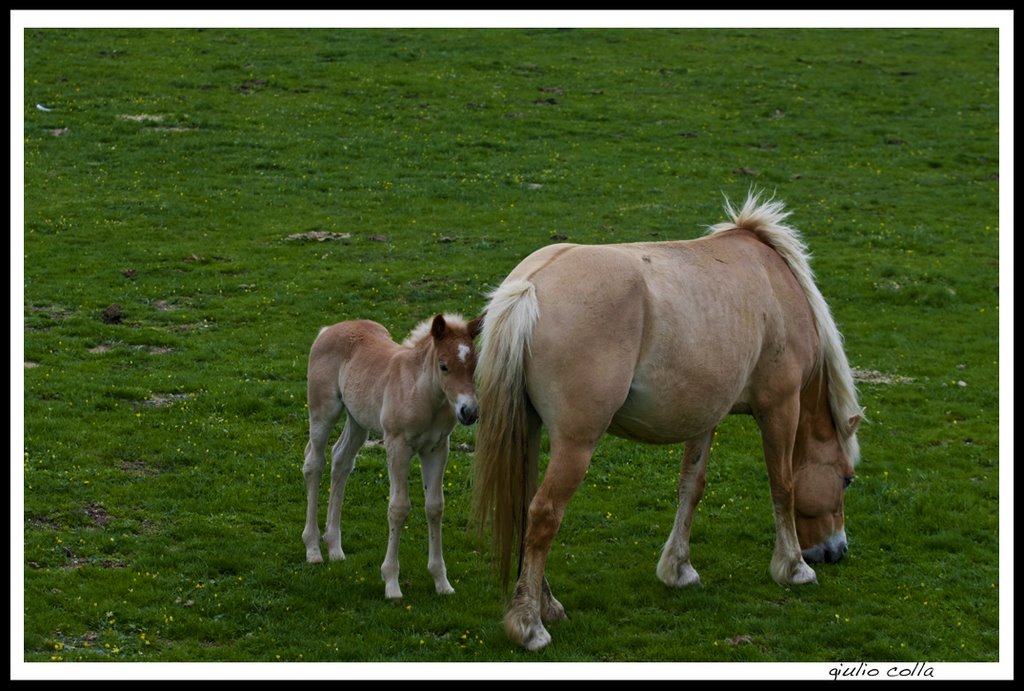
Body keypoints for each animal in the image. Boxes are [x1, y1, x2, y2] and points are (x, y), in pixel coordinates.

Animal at [471, 195, 864, 655]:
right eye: (847, 479)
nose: (836, 551)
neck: (777, 282)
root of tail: (530, 286)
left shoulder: (704, 417)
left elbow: (691, 487)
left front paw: (678, 569)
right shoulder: (781, 407)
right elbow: (782, 486)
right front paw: (794, 567)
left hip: (529, 431)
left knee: (526, 509)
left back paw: (545, 605)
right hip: (575, 444)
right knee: (545, 514)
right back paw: (529, 625)